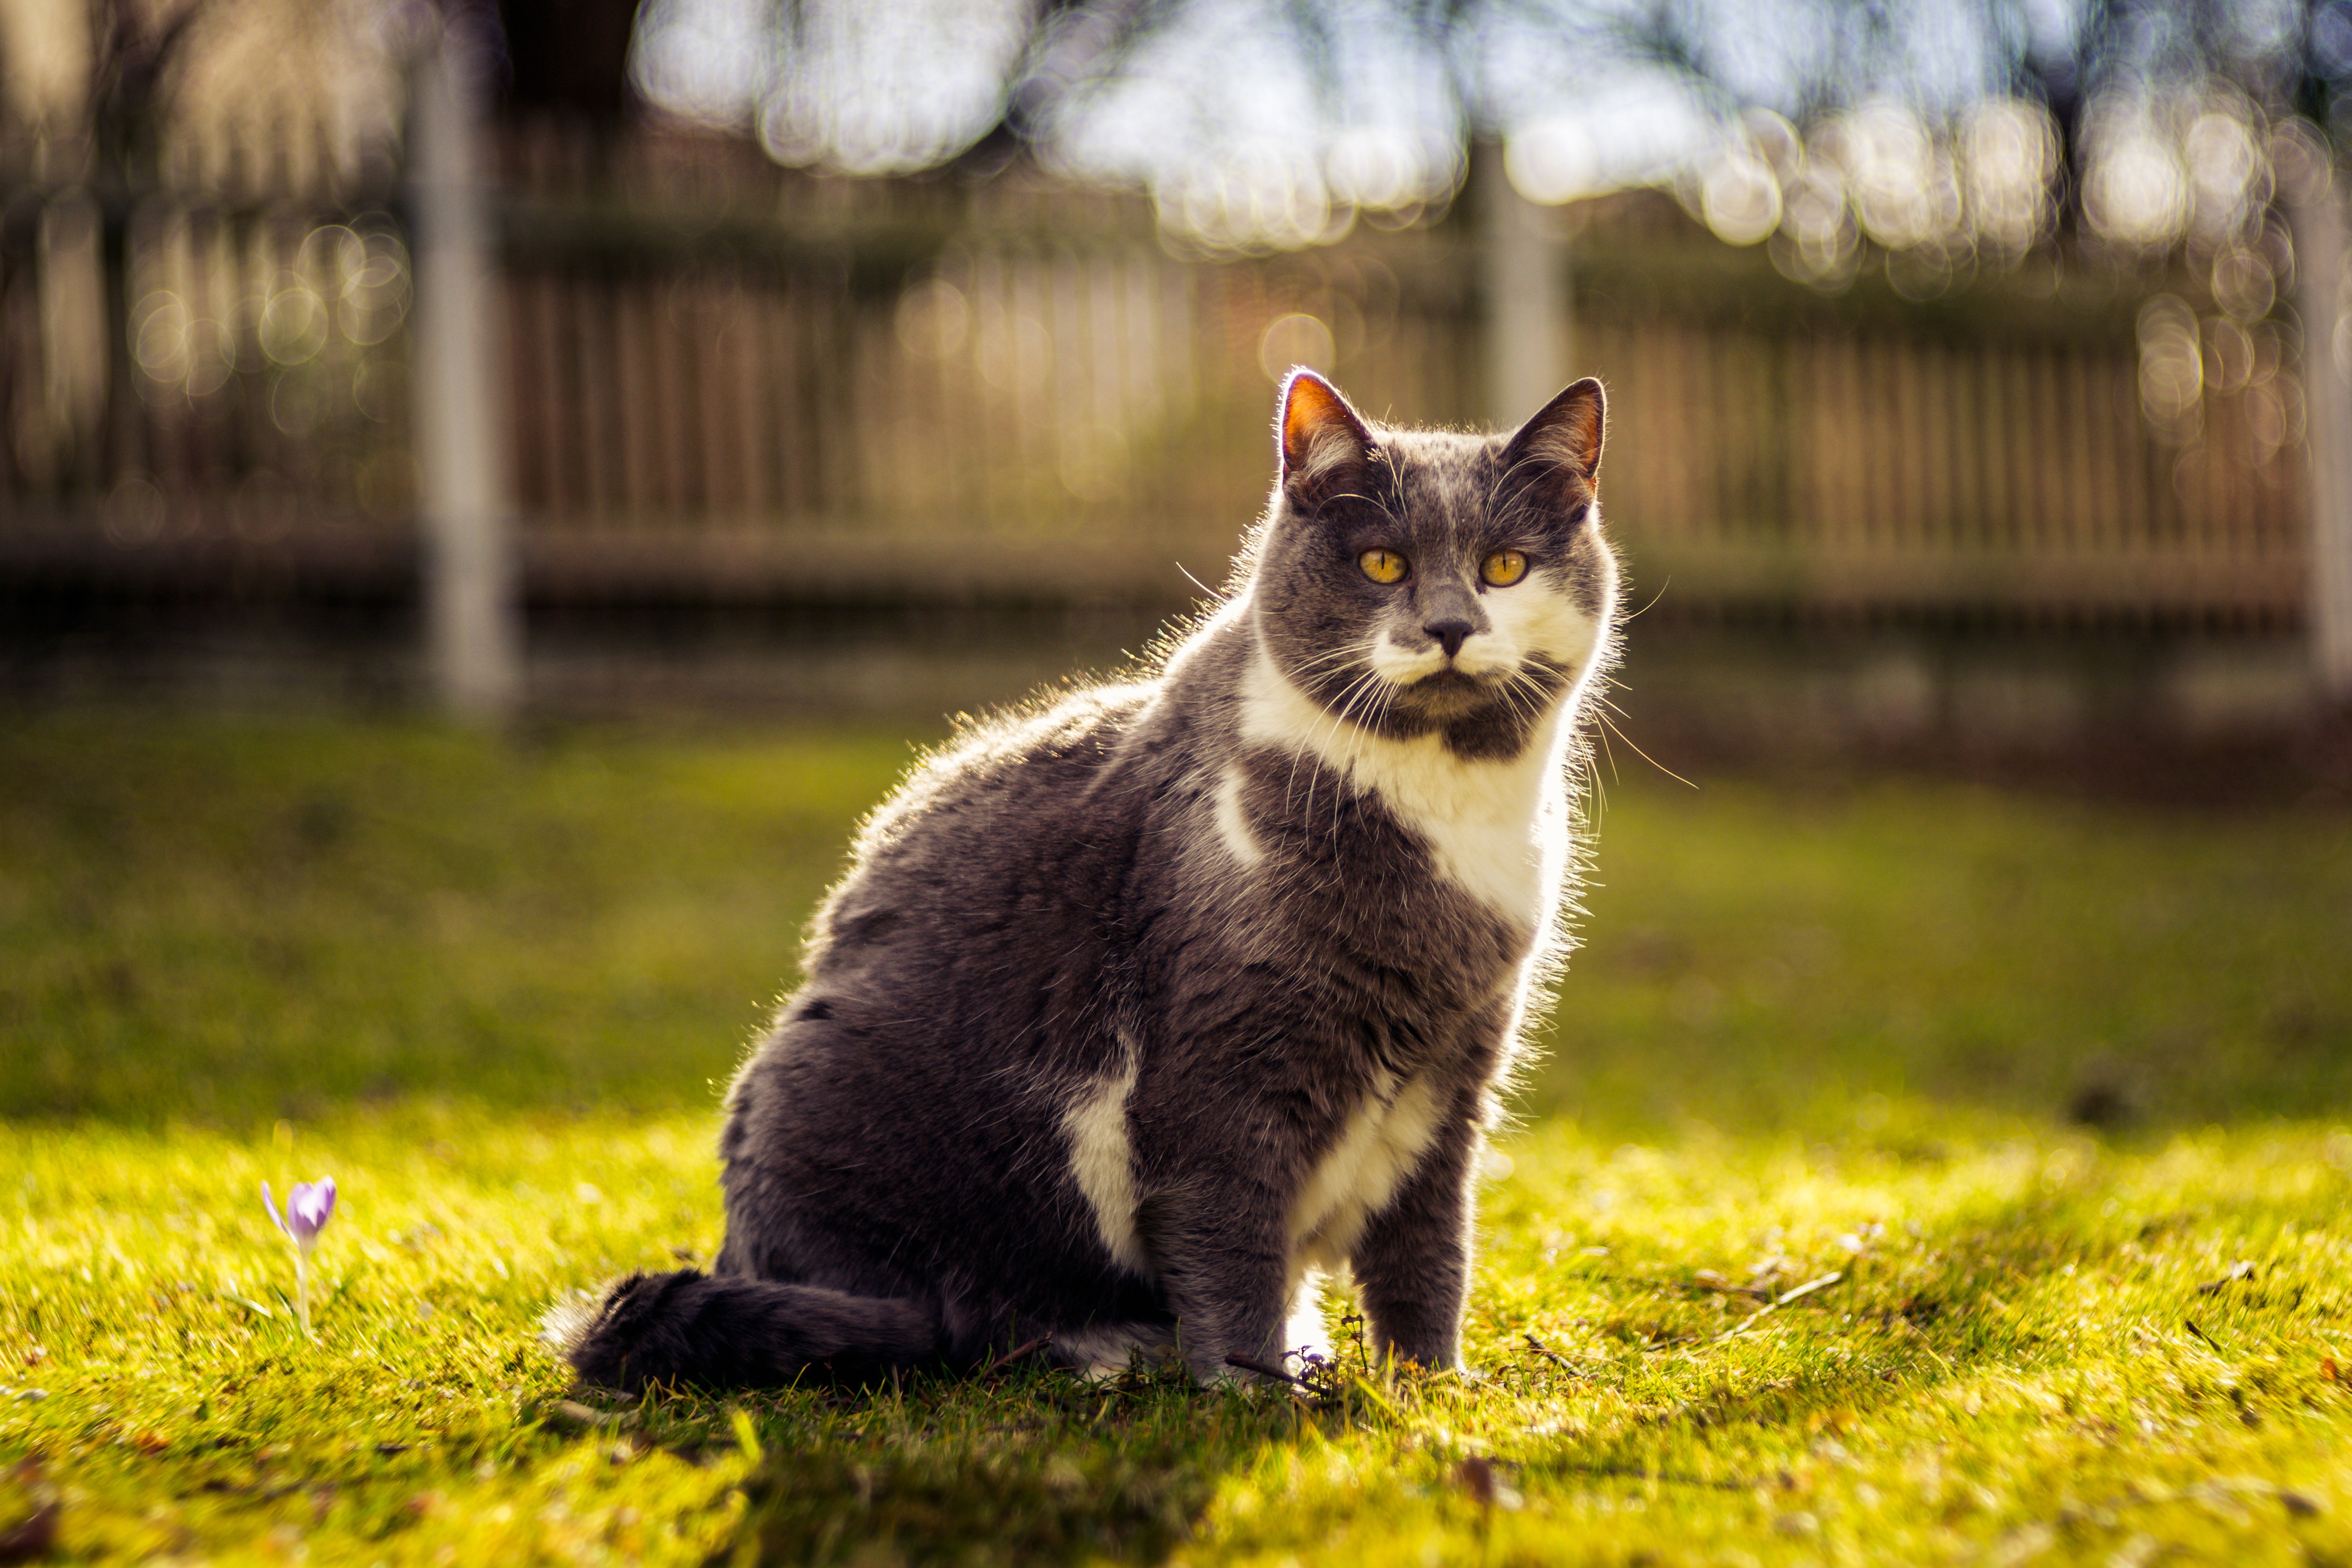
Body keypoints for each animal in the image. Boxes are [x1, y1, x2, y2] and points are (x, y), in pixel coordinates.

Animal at [550, 371, 1618, 1401]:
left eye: (1505, 567)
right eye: (1383, 564)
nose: (1449, 625)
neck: (1444, 813)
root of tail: (740, 1256)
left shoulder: (1455, 1070)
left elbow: (1429, 1246)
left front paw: (1432, 1388)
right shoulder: (1222, 1067)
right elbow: (1229, 1238)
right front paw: (1254, 1395)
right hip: (832, 1104)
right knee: (966, 1320)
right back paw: (1113, 1347)